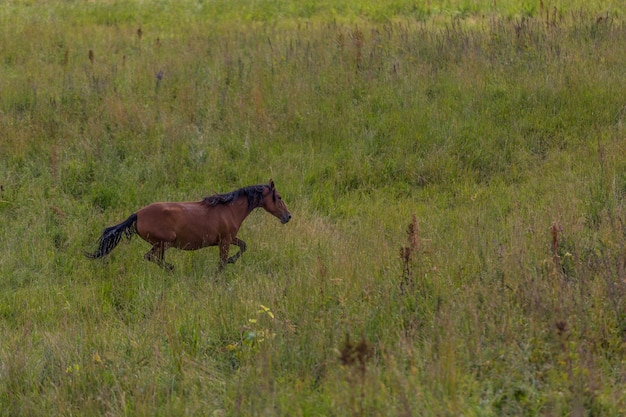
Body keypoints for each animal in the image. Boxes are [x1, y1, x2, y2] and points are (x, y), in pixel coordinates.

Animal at [86, 179, 292, 270]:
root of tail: (137, 214)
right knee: (151, 257)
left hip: (162, 245)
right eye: (279, 197)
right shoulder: (225, 241)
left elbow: (244, 246)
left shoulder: (230, 238)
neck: (229, 208)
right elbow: (223, 261)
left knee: (153, 258)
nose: (288, 216)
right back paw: (171, 268)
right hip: (164, 243)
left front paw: (232, 261)